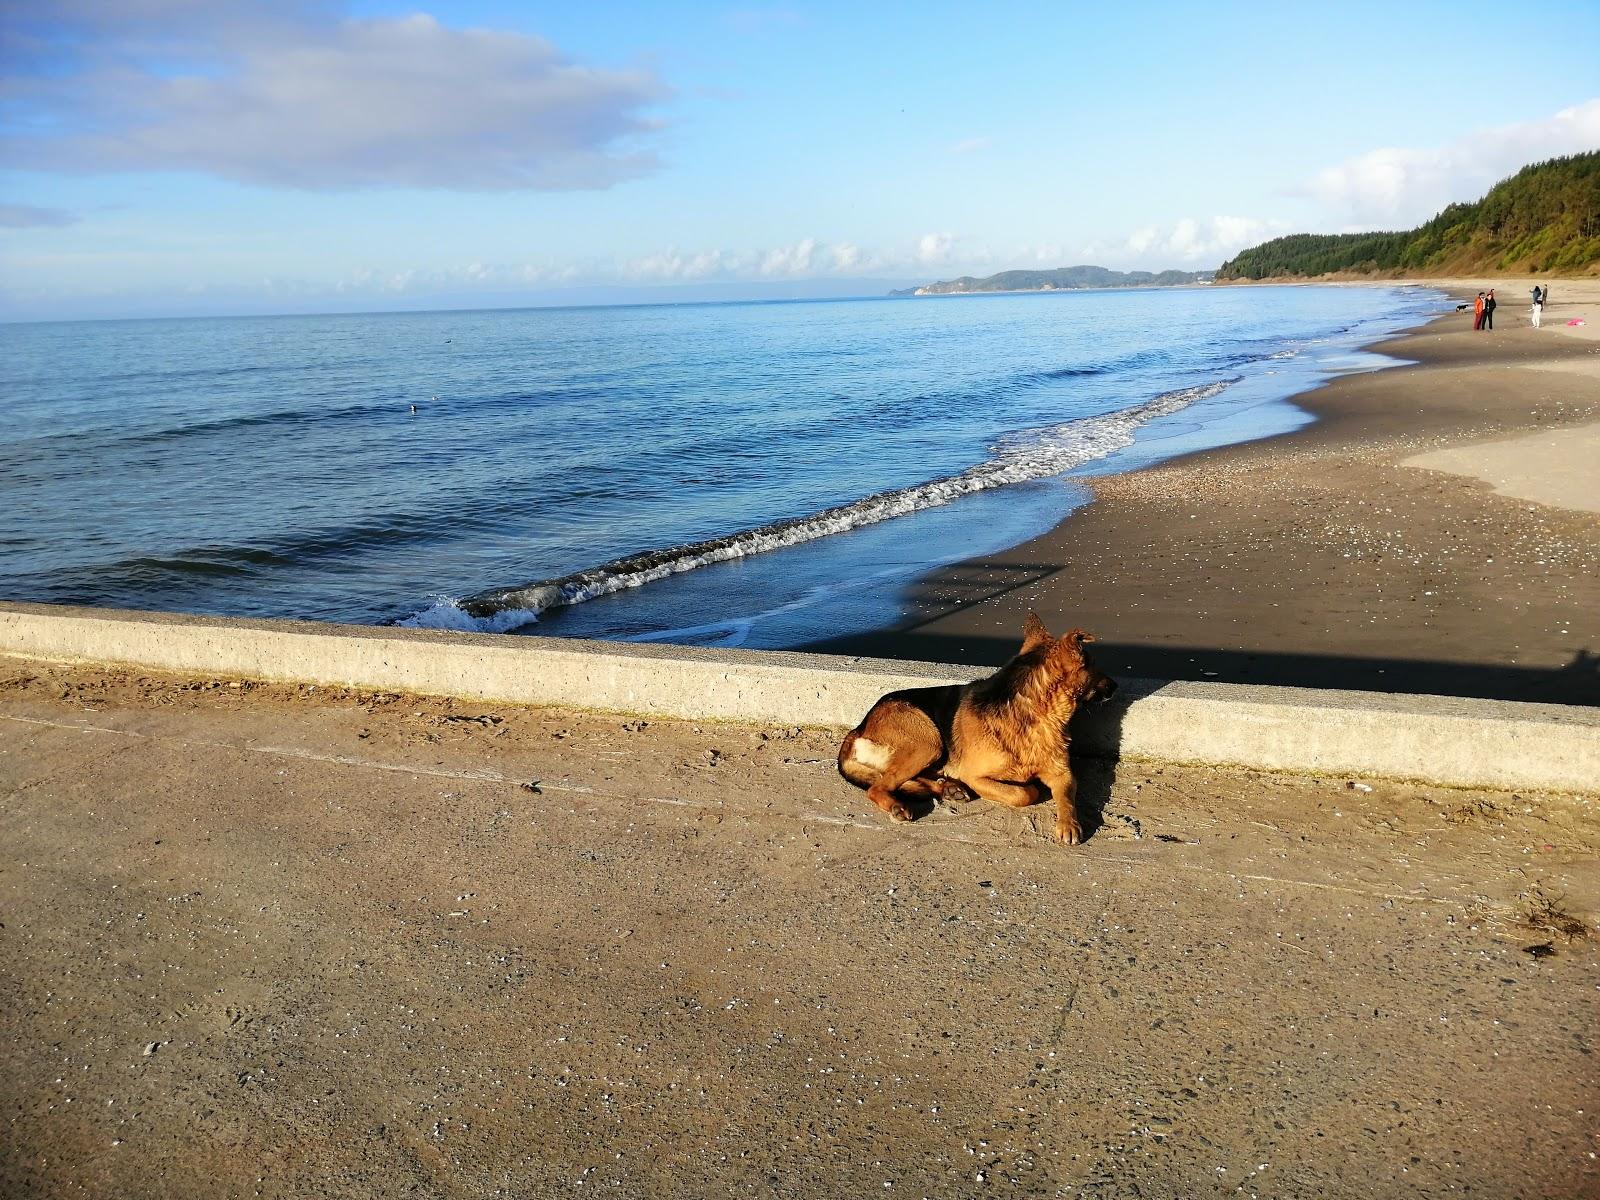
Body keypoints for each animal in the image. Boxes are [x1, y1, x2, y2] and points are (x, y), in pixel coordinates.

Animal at [838, 620, 1113, 844]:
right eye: (1094, 666)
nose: (1116, 686)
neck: (1031, 714)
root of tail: (859, 728)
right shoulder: (975, 777)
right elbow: (1024, 793)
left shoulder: (1063, 774)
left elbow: (1066, 798)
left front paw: (1069, 824)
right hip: (929, 742)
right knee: (878, 786)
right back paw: (899, 804)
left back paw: (947, 788)